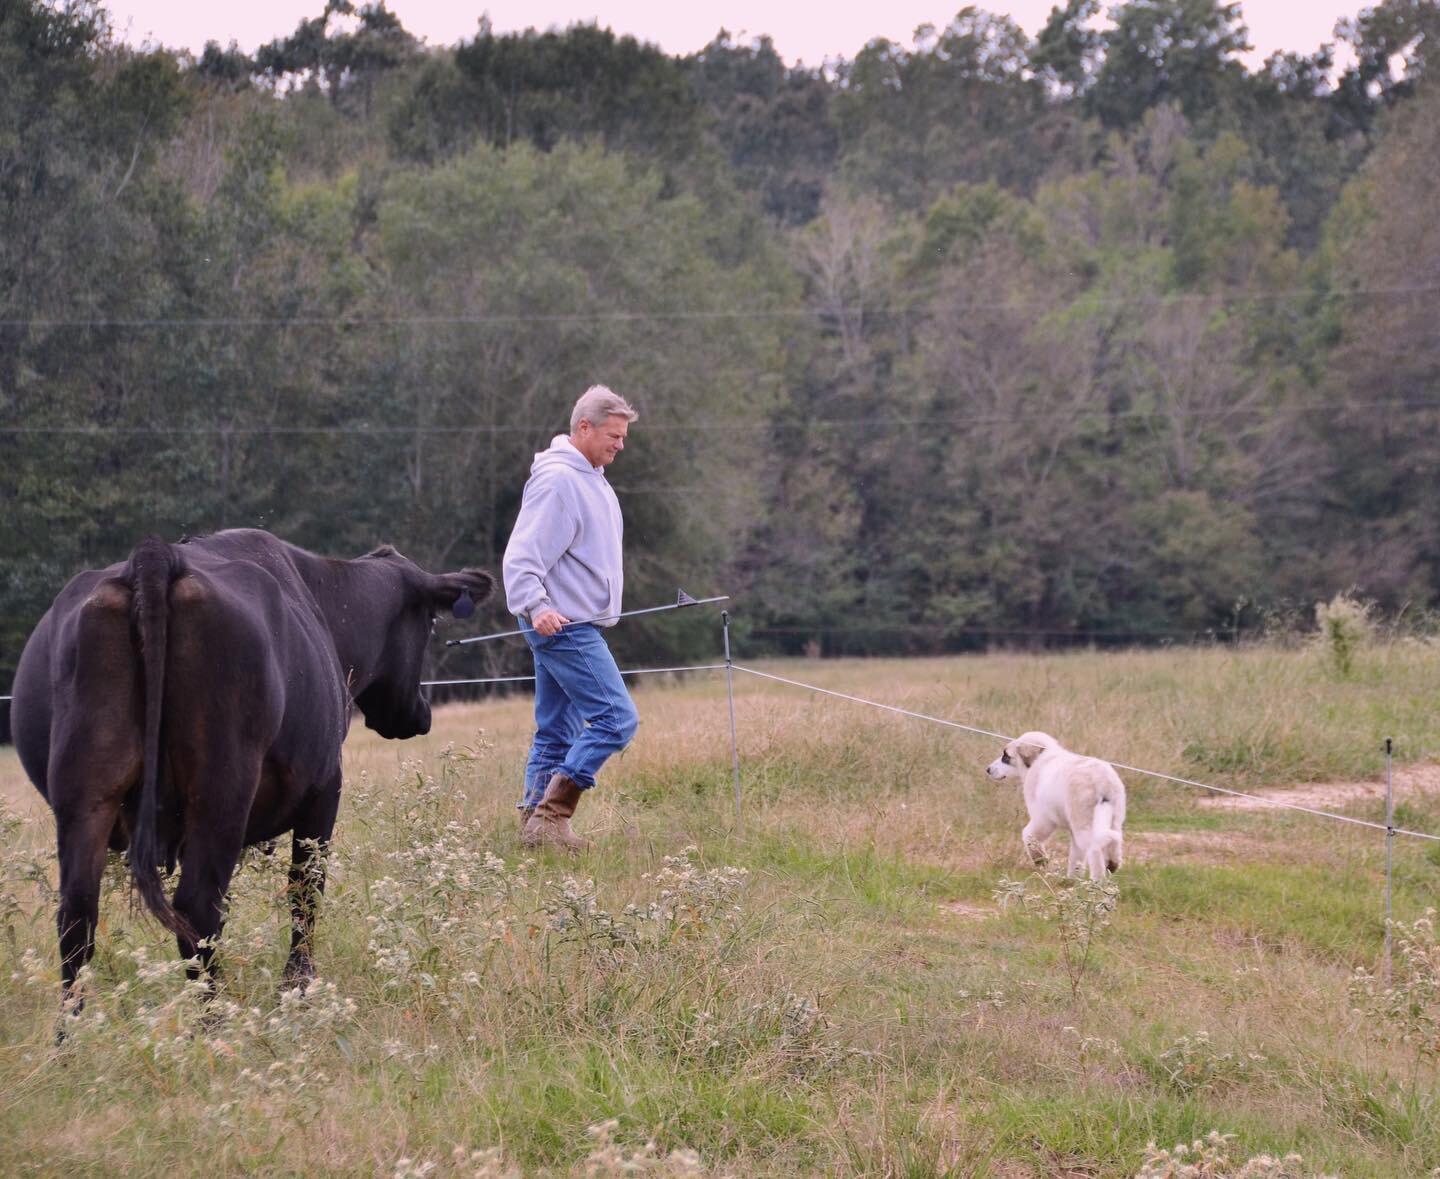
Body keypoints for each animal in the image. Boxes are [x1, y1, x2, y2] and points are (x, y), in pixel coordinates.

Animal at [9, 526, 495, 1013]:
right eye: (431, 625)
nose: (422, 714)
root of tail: (152, 558)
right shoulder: (324, 789)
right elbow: (306, 889)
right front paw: (298, 988)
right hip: (222, 788)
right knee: (198, 908)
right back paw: (216, 1020)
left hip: (86, 795)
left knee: (77, 916)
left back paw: (71, 1031)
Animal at [990, 734, 1123, 881]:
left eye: (1006, 756)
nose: (988, 770)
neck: (1042, 757)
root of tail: (1102, 780)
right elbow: (1076, 855)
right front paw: (1072, 879)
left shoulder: (1043, 819)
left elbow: (1029, 836)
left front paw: (1040, 860)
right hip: (1113, 818)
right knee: (1115, 839)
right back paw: (1112, 864)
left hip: (1083, 823)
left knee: (1094, 848)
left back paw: (1097, 880)